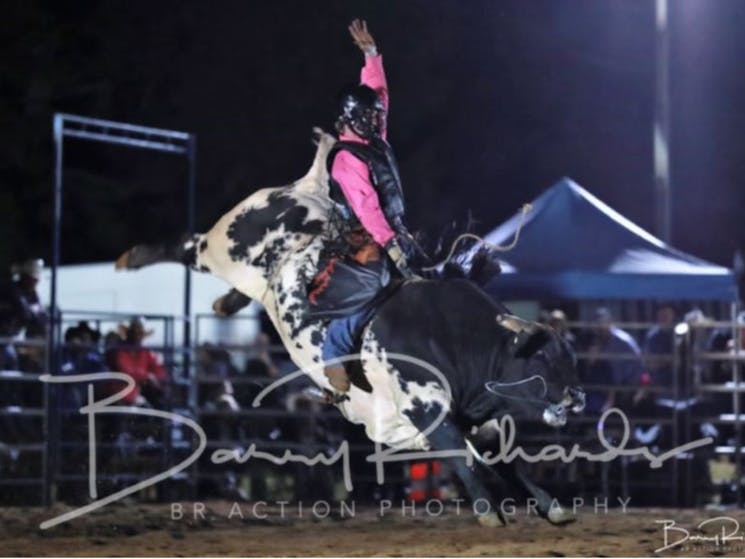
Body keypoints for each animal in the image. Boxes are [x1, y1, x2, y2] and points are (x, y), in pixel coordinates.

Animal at [116, 129, 584, 528]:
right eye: (542, 356)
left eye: (571, 356)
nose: (577, 398)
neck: (456, 339)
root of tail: (307, 190)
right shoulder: (425, 406)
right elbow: (463, 456)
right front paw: (489, 512)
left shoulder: (478, 417)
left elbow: (506, 461)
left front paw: (552, 506)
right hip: (226, 249)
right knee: (188, 245)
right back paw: (133, 257)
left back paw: (224, 303)